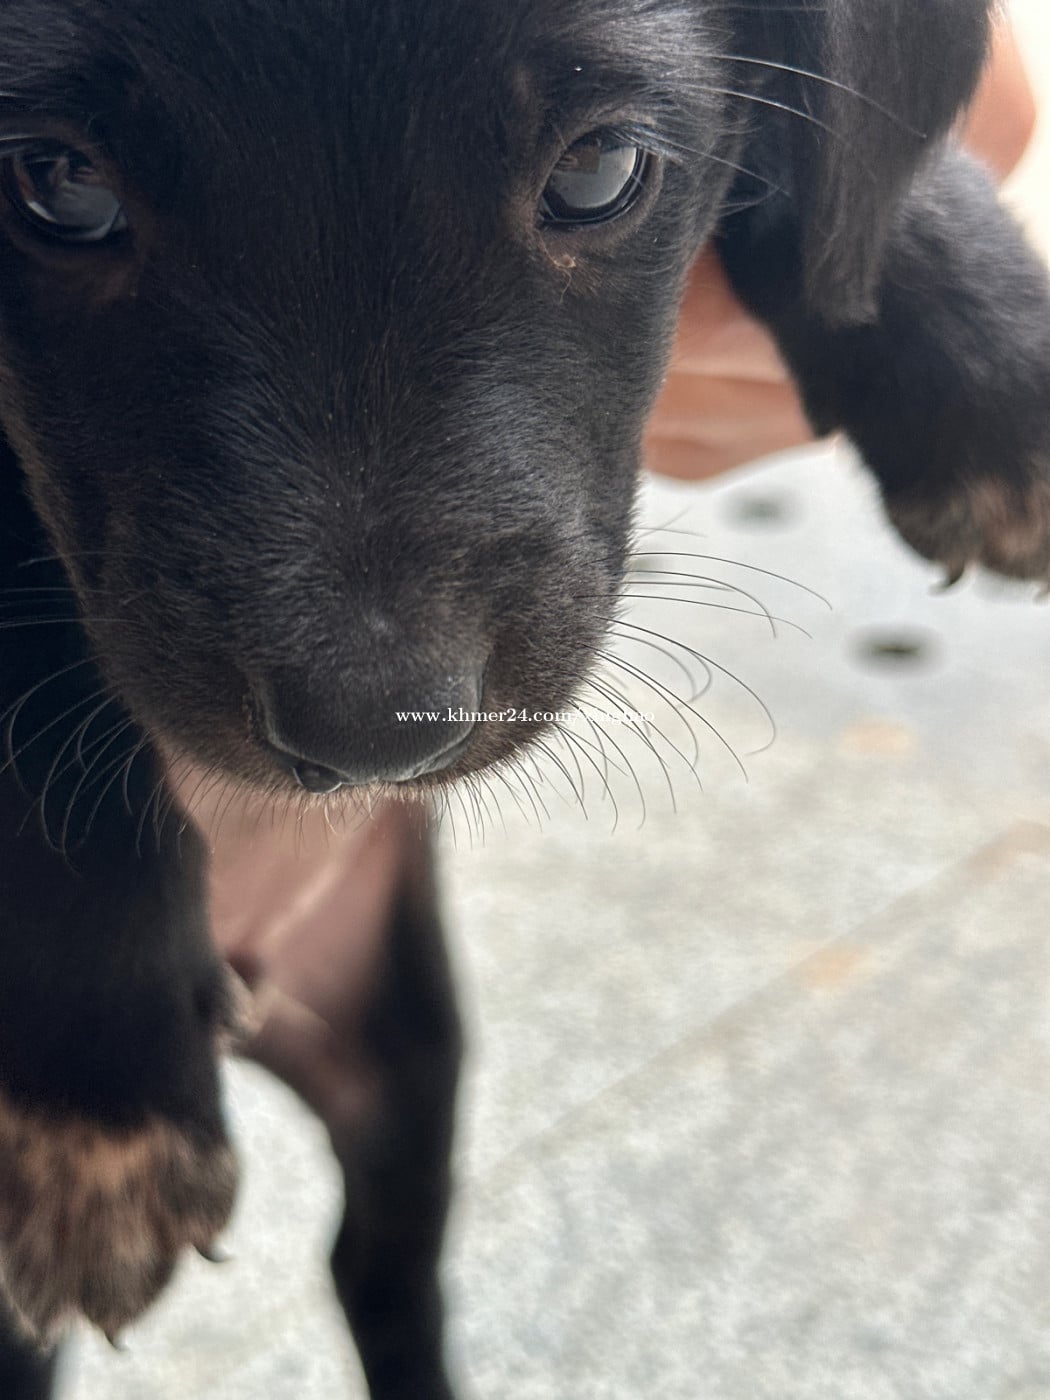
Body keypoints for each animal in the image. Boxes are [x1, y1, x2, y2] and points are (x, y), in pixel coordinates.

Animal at [0, 1, 1047, 1396]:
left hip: (403, 1050)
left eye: (600, 171)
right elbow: (33, 702)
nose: (373, 729)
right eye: (57, 184)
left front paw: (990, 362)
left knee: (381, 1268)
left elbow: (855, 194)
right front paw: (94, 1104)